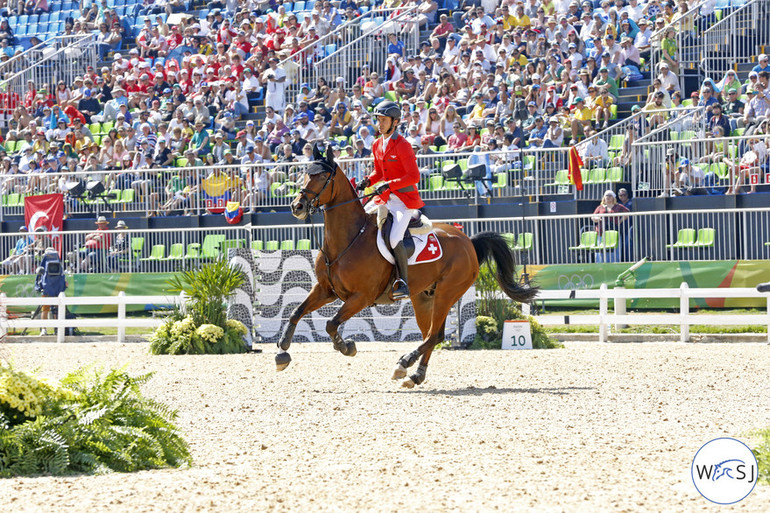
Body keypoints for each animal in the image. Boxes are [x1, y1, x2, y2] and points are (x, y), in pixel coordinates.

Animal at [274, 142, 536, 386]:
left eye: (322, 177)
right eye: (305, 174)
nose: (297, 206)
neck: (348, 238)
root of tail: (468, 241)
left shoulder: (361, 296)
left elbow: (331, 324)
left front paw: (347, 346)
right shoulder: (326, 290)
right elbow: (296, 312)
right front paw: (282, 351)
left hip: (447, 292)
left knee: (434, 335)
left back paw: (404, 363)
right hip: (424, 297)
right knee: (431, 334)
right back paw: (415, 375)